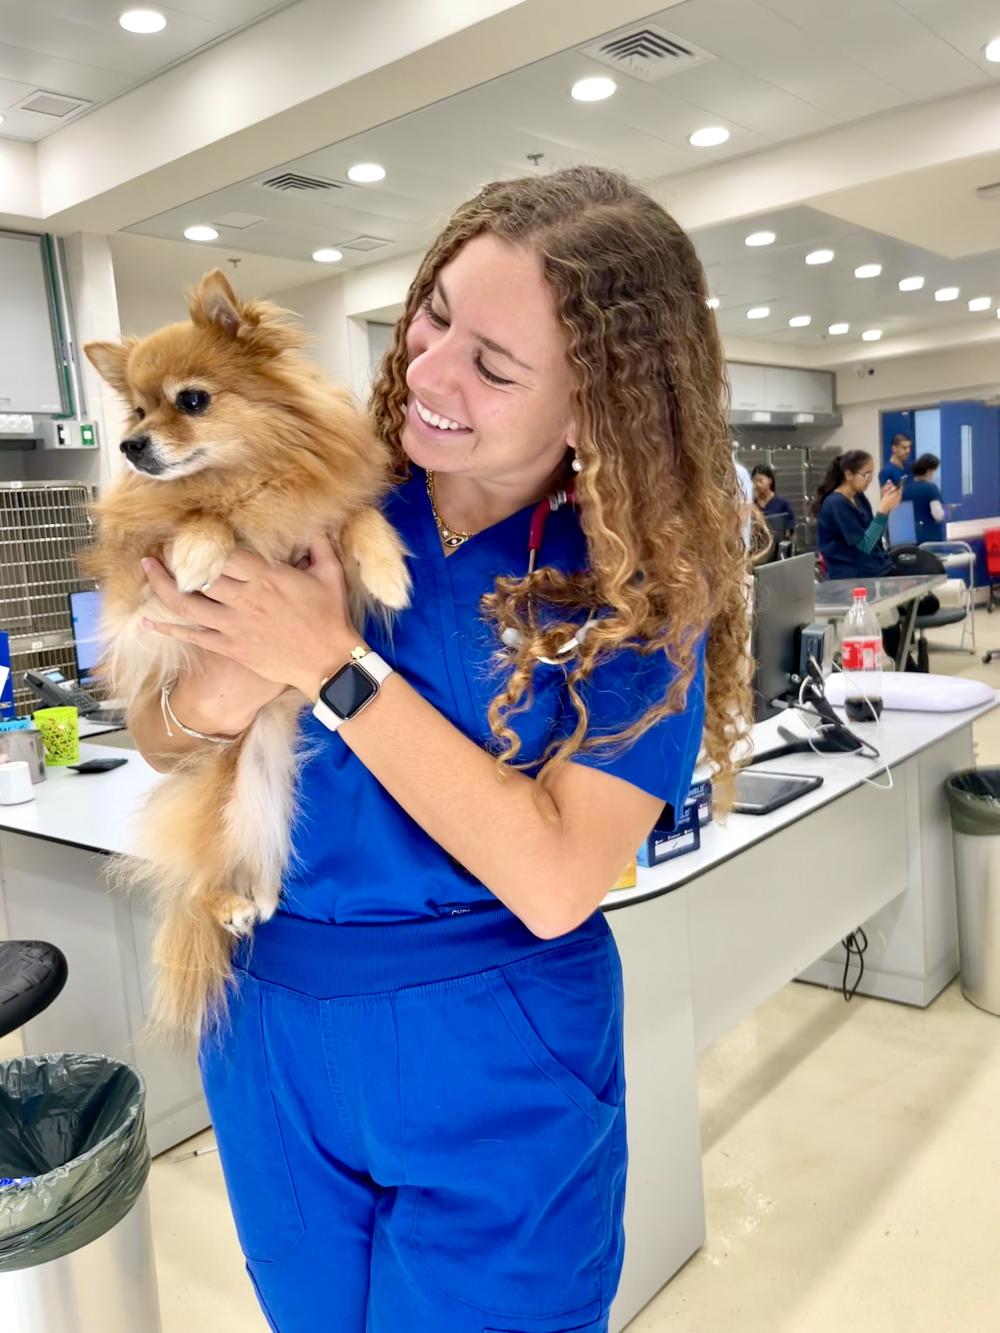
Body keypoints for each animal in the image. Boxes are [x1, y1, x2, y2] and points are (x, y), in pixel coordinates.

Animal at [83, 270, 410, 1034]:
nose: (131, 445)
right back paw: (228, 903)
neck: (250, 478)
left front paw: (388, 570)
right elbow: (192, 523)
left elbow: (357, 516)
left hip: (264, 797)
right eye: (136, 411)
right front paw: (202, 547)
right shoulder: (135, 598)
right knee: (201, 880)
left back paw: (252, 899)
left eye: (191, 401)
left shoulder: (324, 519)